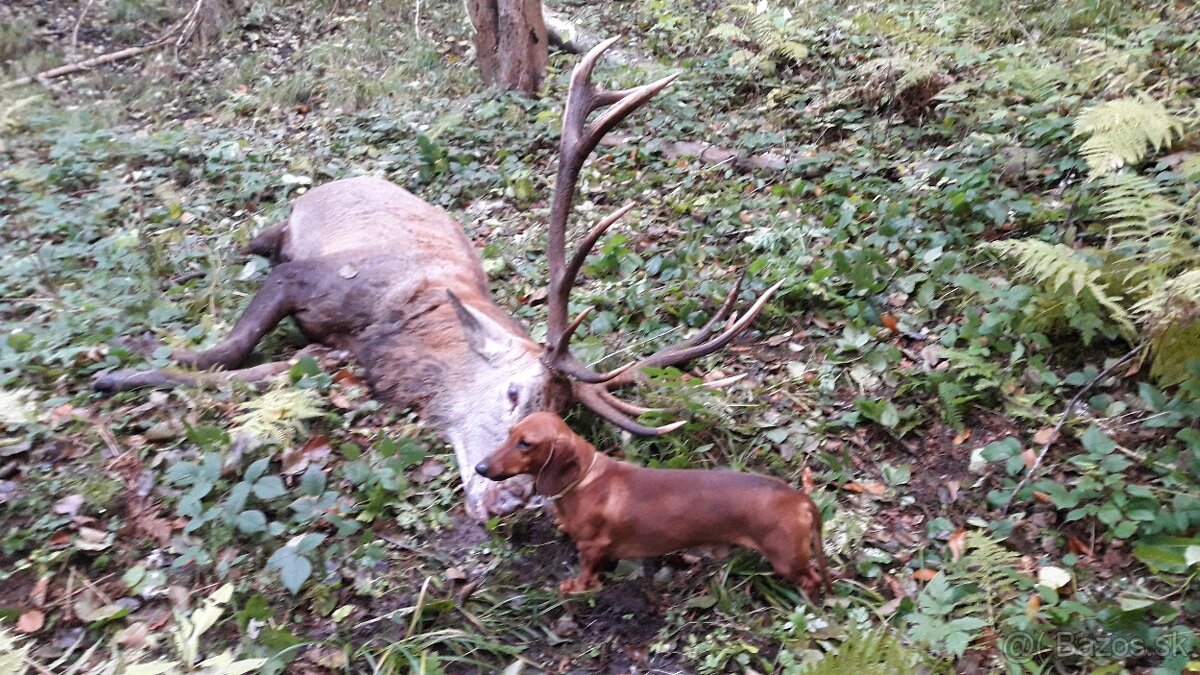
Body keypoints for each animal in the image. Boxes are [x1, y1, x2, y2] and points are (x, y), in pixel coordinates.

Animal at [96, 39, 787, 516]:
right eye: (513, 393)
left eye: (564, 424)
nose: (510, 500)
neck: (396, 333)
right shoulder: (307, 280)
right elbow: (227, 349)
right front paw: (124, 362)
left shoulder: (341, 358)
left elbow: (260, 374)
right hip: (286, 230)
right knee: (256, 240)